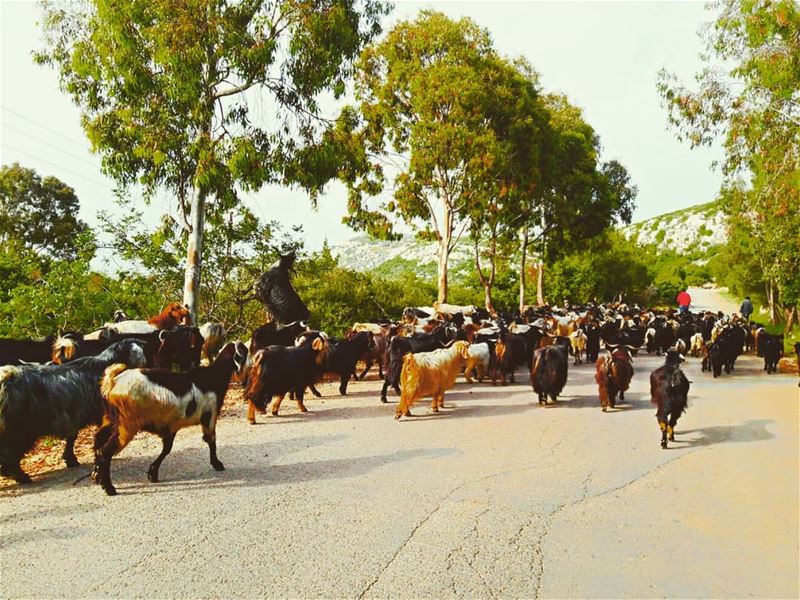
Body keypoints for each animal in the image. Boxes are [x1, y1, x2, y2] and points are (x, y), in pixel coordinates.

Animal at [92, 340, 247, 494]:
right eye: (244, 351)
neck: (213, 378)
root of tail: (113, 382)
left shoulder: (172, 425)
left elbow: (167, 449)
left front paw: (153, 473)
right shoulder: (209, 416)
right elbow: (211, 441)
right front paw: (217, 464)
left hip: (110, 420)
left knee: (98, 441)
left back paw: (97, 476)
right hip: (126, 425)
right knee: (105, 451)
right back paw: (109, 488)